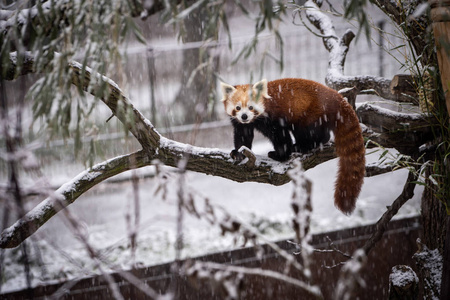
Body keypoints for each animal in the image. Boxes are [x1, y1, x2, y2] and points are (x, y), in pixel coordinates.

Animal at [221, 77, 366, 213]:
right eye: (238, 108)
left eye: (251, 107)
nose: (244, 116)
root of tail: (335, 96)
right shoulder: (241, 124)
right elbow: (243, 137)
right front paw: (238, 154)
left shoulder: (272, 118)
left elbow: (280, 136)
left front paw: (280, 155)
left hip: (310, 114)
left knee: (309, 132)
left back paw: (302, 146)